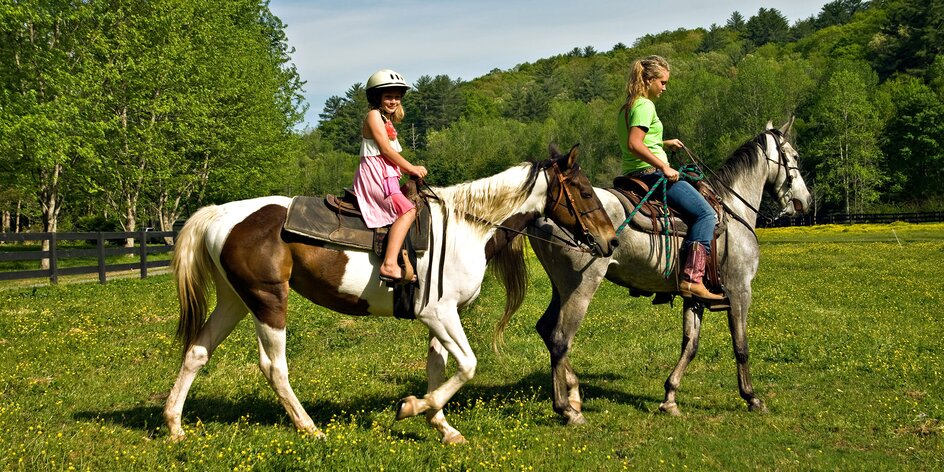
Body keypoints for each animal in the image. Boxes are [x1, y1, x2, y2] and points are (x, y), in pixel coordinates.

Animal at [164, 146, 620, 444]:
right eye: (583, 191)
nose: (611, 241)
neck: (467, 227)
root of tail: (220, 214)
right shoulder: (439, 313)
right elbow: (467, 366)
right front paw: (413, 408)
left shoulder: (441, 317)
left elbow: (440, 368)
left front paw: (442, 426)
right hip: (268, 300)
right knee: (273, 367)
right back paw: (309, 427)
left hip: (235, 300)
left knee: (197, 352)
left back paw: (174, 425)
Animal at [516, 119, 812, 424]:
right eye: (795, 156)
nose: (805, 201)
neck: (733, 212)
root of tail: (542, 214)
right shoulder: (740, 290)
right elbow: (741, 346)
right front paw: (752, 397)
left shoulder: (695, 296)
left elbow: (690, 345)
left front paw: (670, 397)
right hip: (580, 288)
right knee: (560, 339)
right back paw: (567, 408)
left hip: (560, 288)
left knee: (546, 330)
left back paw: (574, 392)